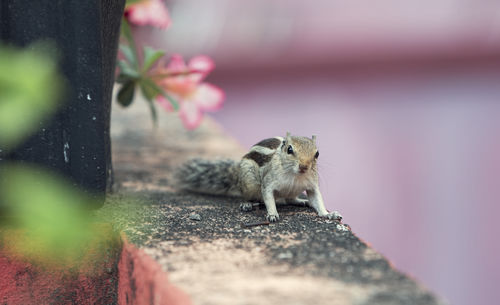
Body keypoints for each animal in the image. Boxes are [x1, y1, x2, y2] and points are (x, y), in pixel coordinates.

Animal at [174, 132, 342, 222]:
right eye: (289, 149)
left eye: (317, 154)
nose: (304, 166)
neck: (295, 176)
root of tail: (237, 176)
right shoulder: (268, 182)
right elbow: (268, 197)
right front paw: (273, 214)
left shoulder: (312, 185)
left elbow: (317, 200)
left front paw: (328, 214)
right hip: (249, 182)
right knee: (248, 196)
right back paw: (247, 204)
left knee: (289, 199)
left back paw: (302, 201)